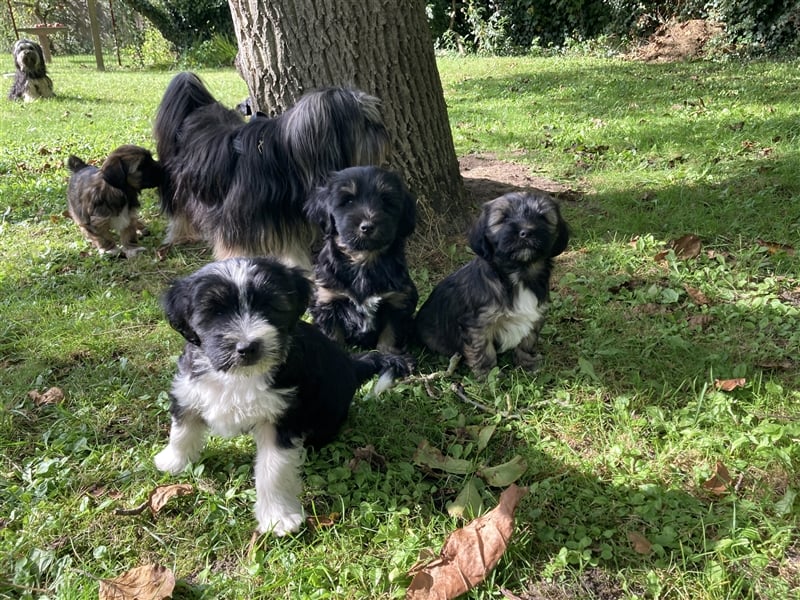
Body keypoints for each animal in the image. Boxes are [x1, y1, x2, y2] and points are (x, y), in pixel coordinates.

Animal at [154, 70, 390, 270]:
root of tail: (195, 109)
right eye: (365, 122)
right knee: (178, 209)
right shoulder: (236, 222)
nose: (382, 128)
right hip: (177, 181)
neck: (283, 160)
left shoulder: (284, 216)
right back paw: (181, 234)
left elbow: (291, 249)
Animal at [155, 256, 412, 536]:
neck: (240, 376)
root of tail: (351, 365)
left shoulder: (282, 417)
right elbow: (183, 426)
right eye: (216, 312)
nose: (247, 347)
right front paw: (173, 461)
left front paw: (278, 517)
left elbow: (273, 469)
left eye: (270, 305)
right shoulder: (190, 386)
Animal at [412, 191, 568, 376]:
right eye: (503, 219)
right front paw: (488, 376)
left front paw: (528, 364)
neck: (518, 274)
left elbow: (527, 342)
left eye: (542, 217)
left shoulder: (535, 315)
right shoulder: (477, 325)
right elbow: (483, 351)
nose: (526, 231)